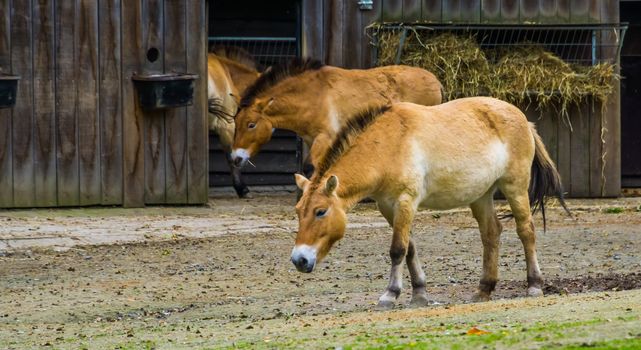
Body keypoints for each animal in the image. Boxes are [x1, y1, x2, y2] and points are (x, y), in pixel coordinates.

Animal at [231, 59, 444, 172]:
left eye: (251, 125)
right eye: (236, 123)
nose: (235, 159)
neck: (313, 95)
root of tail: (436, 80)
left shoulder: (325, 137)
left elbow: (310, 166)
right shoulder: (312, 140)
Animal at [292, 97, 568, 308]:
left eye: (320, 211)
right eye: (298, 211)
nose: (299, 260)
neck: (388, 144)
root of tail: (523, 119)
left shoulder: (406, 201)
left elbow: (397, 249)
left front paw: (390, 295)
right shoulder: (388, 207)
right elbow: (410, 248)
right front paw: (419, 294)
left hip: (515, 187)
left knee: (526, 231)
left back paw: (534, 285)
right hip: (481, 196)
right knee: (491, 233)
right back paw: (484, 289)